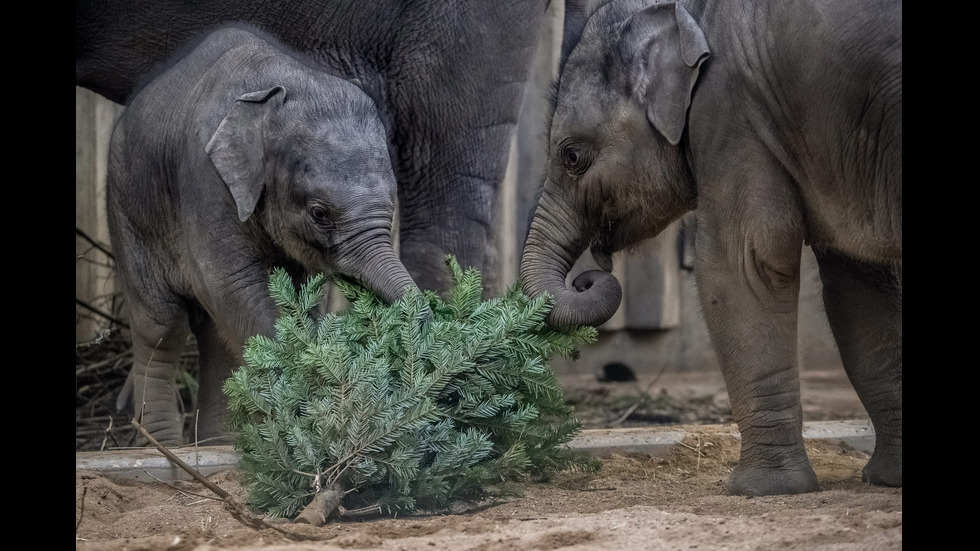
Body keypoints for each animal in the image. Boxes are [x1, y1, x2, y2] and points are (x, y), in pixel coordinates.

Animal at [110, 27, 418, 448]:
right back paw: (166, 448)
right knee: (162, 327)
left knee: (214, 334)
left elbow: (300, 299)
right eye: (319, 213)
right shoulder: (205, 178)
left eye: (392, 204)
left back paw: (217, 446)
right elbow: (234, 283)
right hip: (129, 215)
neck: (279, 84)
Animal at [524, 0, 900, 498]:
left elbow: (741, 265)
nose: (589, 275)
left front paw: (757, 490)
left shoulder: (729, 110)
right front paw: (887, 479)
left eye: (571, 156)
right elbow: (859, 283)